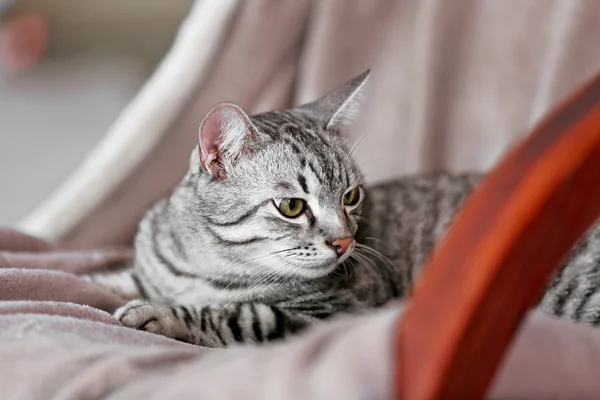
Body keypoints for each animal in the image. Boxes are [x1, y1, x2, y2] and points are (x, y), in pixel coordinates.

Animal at [85, 71, 600, 346]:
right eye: (292, 206)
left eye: (350, 197)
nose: (345, 241)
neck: (206, 266)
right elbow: (114, 277)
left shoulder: (330, 315)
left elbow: (238, 316)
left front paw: (158, 314)